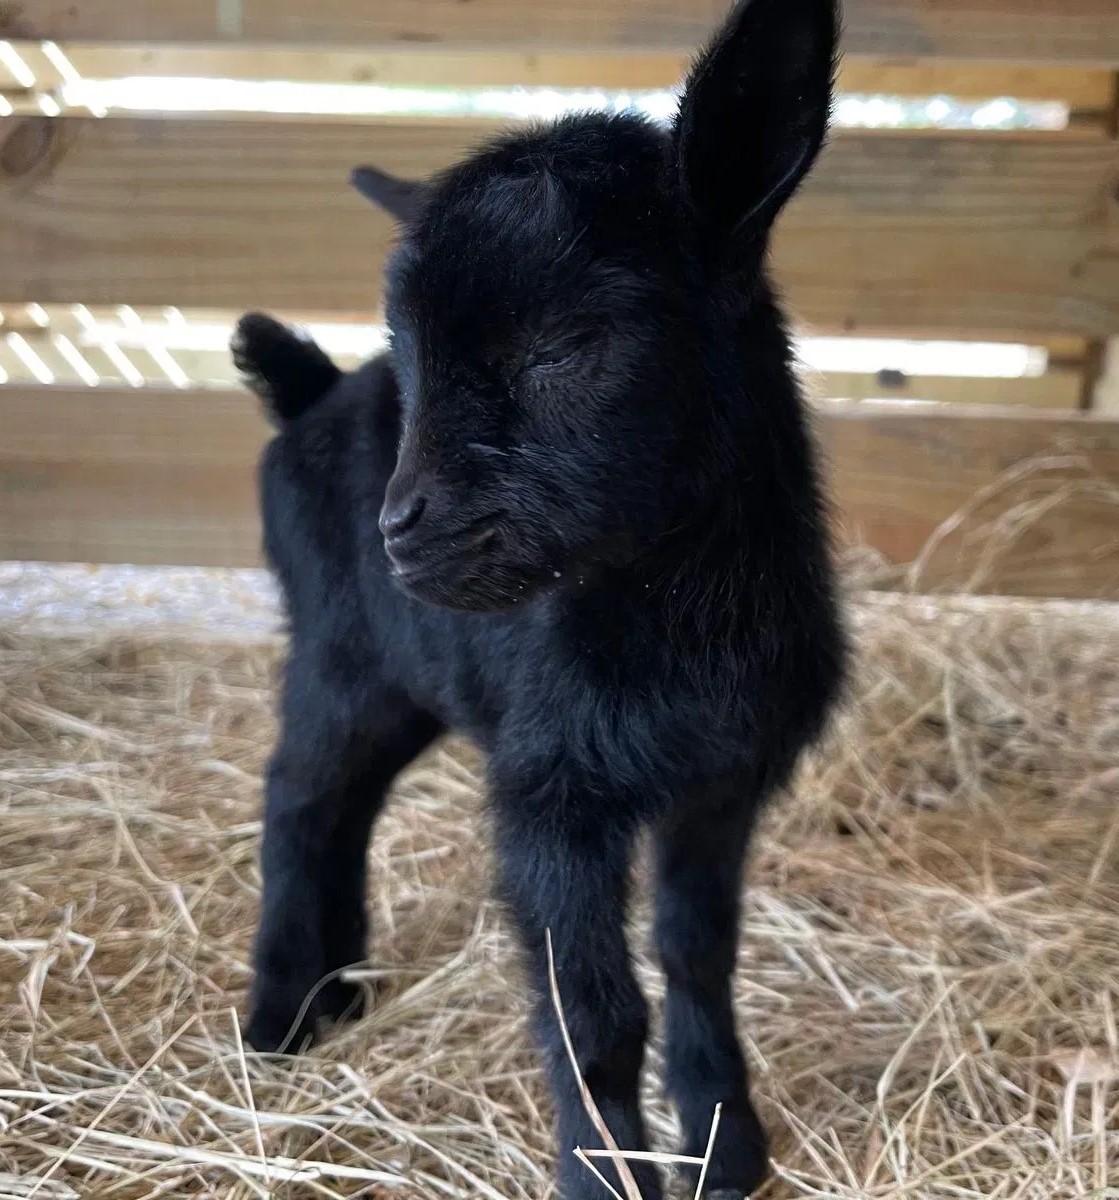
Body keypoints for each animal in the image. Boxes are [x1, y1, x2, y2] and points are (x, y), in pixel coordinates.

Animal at [237, 0, 850, 1195]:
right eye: (412, 355)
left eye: (565, 347)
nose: (401, 531)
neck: (675, 619)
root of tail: (310, 392)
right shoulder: (553, 795)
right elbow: (595, 1016)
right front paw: (604, 1172)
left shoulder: (721, 783)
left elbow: (698, 957)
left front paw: (725, 1146)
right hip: (335, 650)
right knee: (298, 795)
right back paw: (279, 1014)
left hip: (405, 683)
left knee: (349, 802)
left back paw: (343, 982)